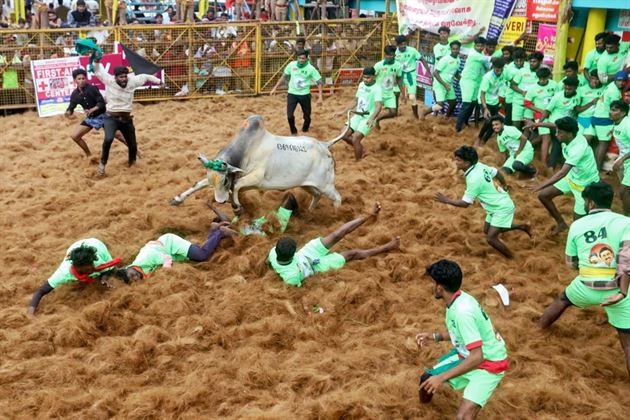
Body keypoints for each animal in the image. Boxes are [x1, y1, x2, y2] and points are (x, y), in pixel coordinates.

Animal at [170, 114, 348, 212]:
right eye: (214, 181)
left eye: (225, 180)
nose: (220, 201)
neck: (246, 149)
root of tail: (324, 144)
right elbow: (198, 184)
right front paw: (177, 199)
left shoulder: (256, 177)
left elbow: (237, 186)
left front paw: (237, 206)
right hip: (307, 185)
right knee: (317, 195)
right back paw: (310, 212)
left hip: (326, 185)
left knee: (337, 198)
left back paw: (335, 216)